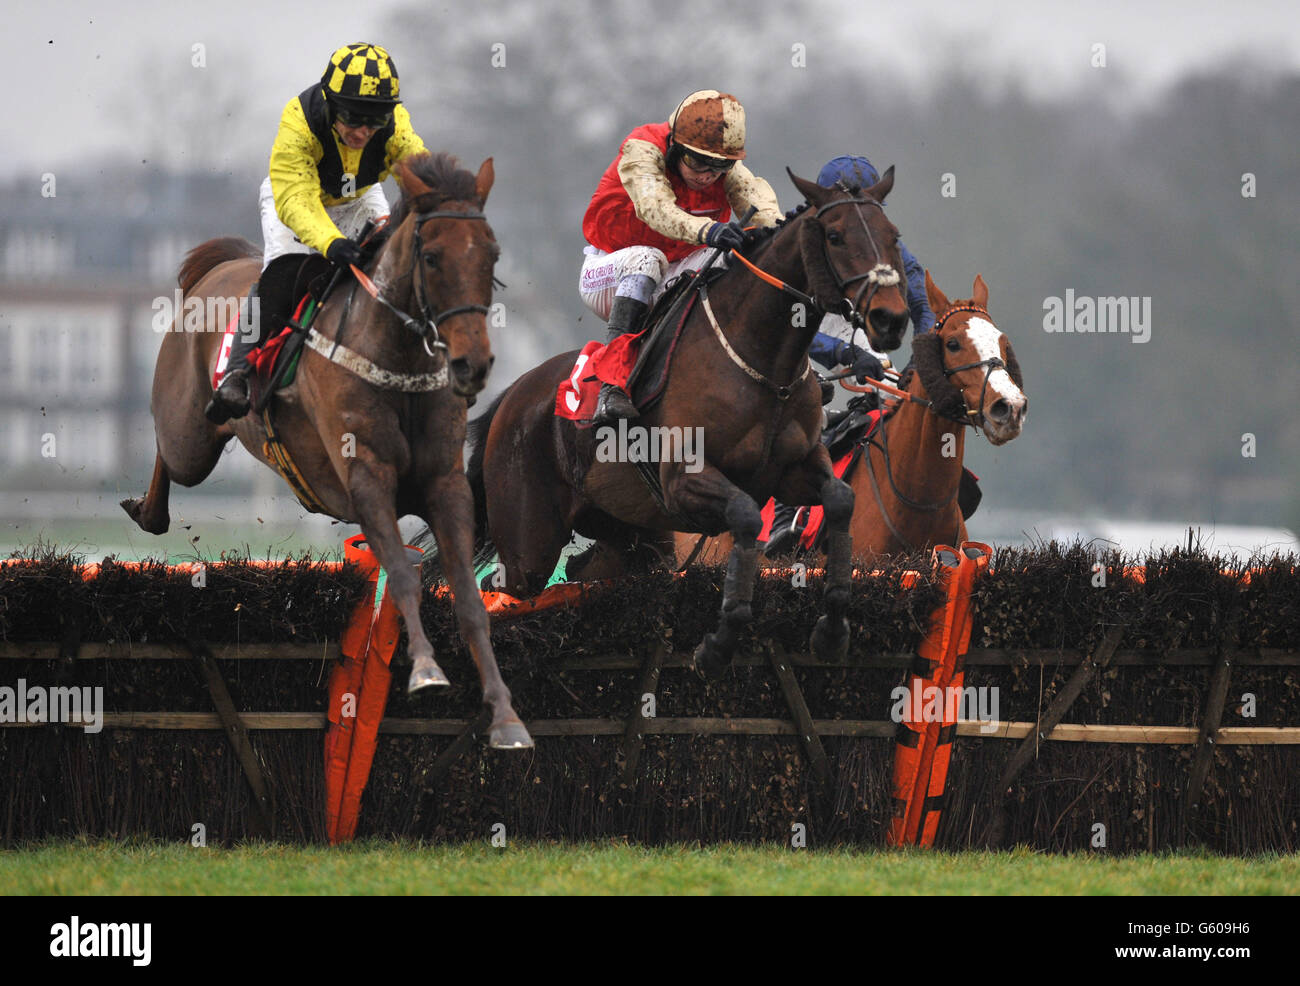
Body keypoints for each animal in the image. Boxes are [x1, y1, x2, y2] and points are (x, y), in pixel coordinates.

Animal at [118, 152, 533, 749]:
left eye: (492, 254)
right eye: (431, 257)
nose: (470, 364)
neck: (397, 361)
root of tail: (223, 265)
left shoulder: (445, 486)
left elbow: (470, 599)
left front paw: (504, 715)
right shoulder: (366, 480)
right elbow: (401, 573)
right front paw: (426, 671)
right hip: (188, 436)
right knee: (166, 453)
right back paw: (148, 511)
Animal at [470, 167, 915, 681]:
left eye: (893, 236)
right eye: (836, 236)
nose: (891, 318)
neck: (763, 360)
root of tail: (512, 396)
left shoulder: (796, 467)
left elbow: (840, 500)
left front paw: (833, 629)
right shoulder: (684, 480)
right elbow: (745, 515)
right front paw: (719, 643)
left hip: (632, 537)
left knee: (586, 571)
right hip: (529, 543)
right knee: (500, 589)